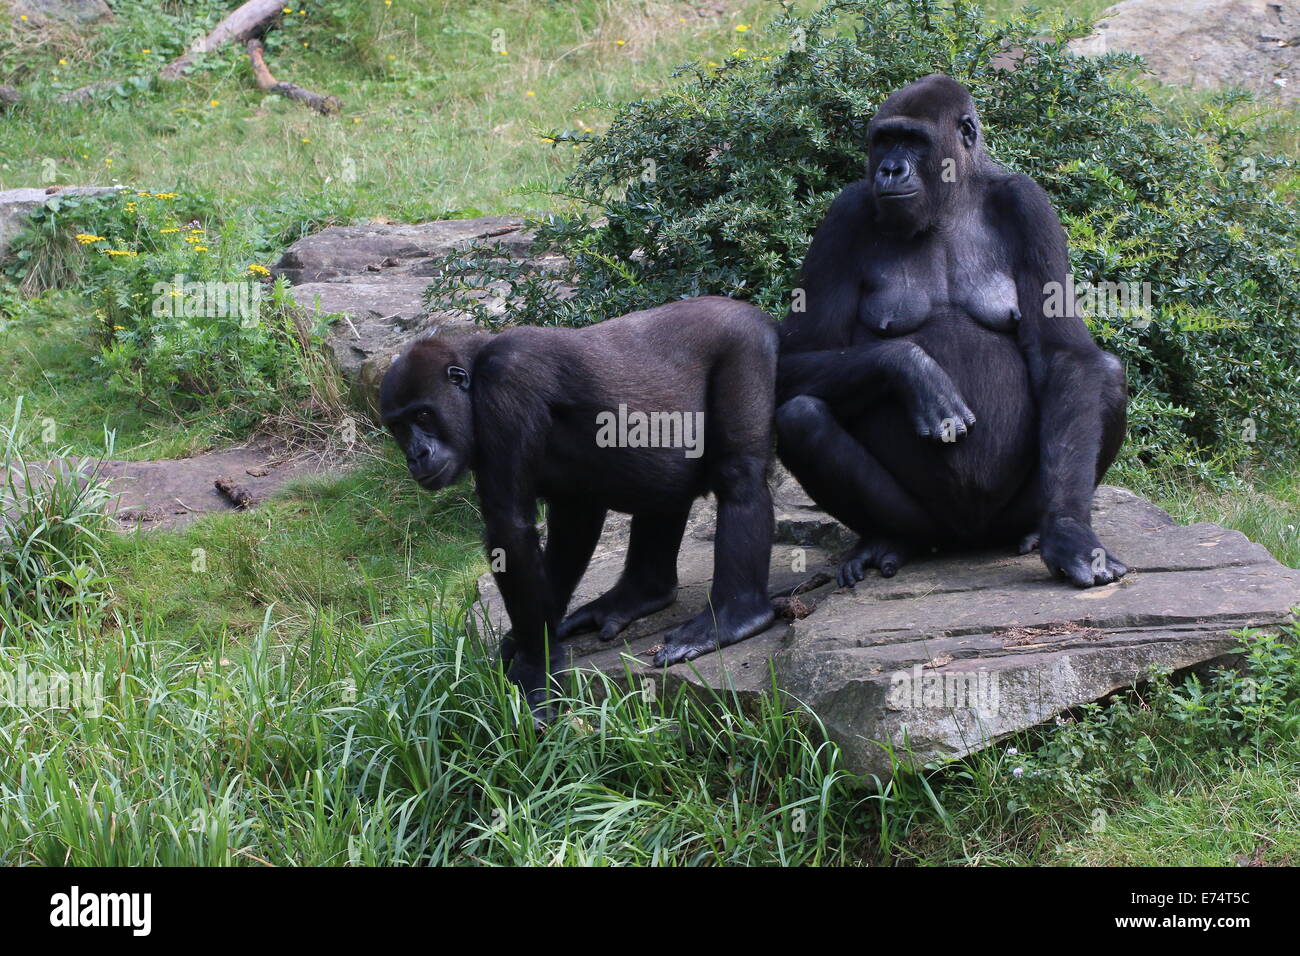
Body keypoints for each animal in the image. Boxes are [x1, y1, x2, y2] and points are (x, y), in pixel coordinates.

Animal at [379, 299, 774, 717]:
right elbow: (570, 523)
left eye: (423, 415)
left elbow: (511, 531)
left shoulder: (507, 382)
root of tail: (747, 307)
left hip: (746, 343)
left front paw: (534, 664)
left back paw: (735, 615)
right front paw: (532, 637)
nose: (416, 456)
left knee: (738, 475)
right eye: (398, 427)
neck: (476, 360)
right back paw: (641, 594)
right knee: (662, 485)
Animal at [769, 74, 1128, 587]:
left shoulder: (1029, 203)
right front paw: (912, 370)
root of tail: (967, 540)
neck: (953, 200)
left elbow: (1066, 354)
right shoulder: (844, 214)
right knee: (800, 416)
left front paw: (1069, 533)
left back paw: (1033, 532)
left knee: (1107, 374)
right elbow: (796, 354)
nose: (890, 170)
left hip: (1003, 521)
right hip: (931, 524)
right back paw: (887, 539)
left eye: (914, 141)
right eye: (884, 140)